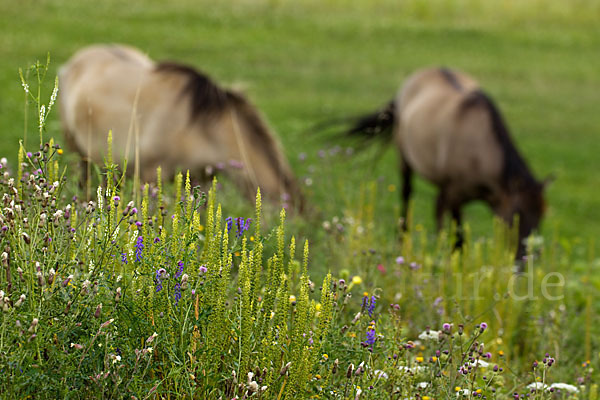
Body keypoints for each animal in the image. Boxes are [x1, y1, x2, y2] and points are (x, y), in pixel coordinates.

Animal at [346, 66, 548, 260]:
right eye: (516, 214)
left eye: (541, 215)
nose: (524, 259)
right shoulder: (455, 195)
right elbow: (458, 237)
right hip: (405, 158)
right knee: (407, 194)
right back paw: (403, 240)